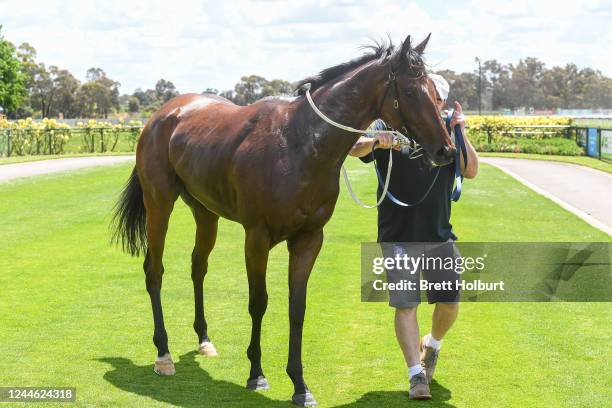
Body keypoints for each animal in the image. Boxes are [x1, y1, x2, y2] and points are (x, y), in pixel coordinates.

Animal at [112, 34, 454, 404]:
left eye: (436, 93)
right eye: (411, 91)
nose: (446, 151)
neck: (297, 143)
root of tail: (162, 115)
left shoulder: (308, 238)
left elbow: (297, 308)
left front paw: (300, 385)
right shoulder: (256, 237)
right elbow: (258, 303)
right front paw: (256, 374)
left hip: (205, 212)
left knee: (198, 266)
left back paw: (204, 340)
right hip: (159, 203)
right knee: (154, 270)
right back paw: (163, 354)